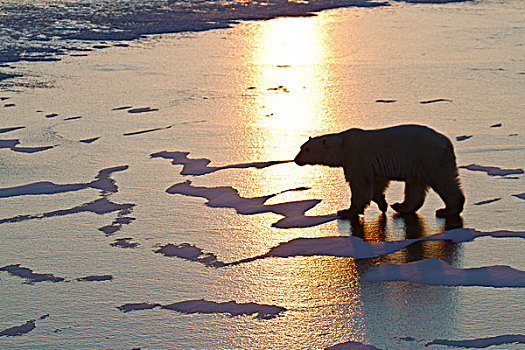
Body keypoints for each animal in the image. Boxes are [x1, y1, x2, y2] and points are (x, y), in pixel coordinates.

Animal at [294, 125, 462, 219]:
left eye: (307, 149)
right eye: (301, 147)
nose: (296, 159)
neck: (342, 145)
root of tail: (447, 142)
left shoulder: (357, 157)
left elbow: (360, 183)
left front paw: (346, 212)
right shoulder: (373, 165)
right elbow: (378, 182)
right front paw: (383, 203)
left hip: (429, 157)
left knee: (443, 181)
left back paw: (447, 210)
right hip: (418, 164)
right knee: (415, 186)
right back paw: (401, 206)